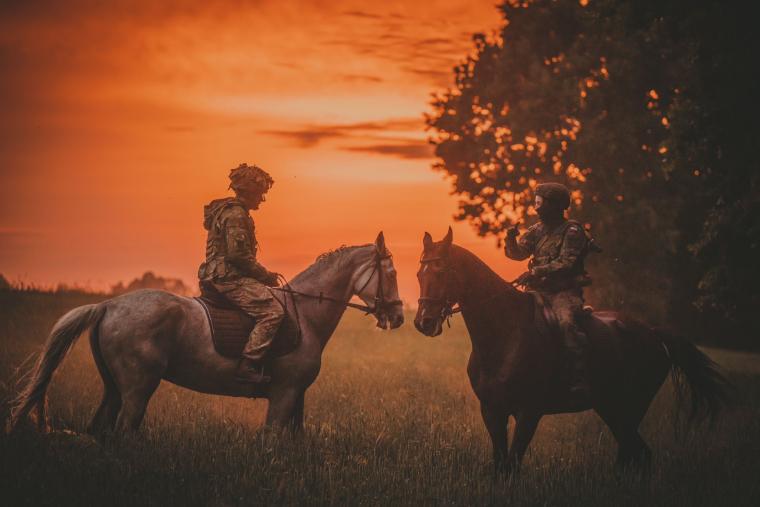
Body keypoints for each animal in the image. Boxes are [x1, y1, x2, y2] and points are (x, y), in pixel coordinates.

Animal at [7, 232, 404, 434]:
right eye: (393, 273)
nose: (399, 316)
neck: (304, 314)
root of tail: (108, 305)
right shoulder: (284, 394)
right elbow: (273, 442)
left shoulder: (296, 397)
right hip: (137, 387)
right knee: (122, 430)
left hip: (114, 387)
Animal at [416, 228, 732, 474]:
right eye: (420, 274)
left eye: (441, 271)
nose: (423, 322)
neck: (505, 335)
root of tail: (653, 334)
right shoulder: (492, 411)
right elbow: (500, 465)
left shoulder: (529, 412)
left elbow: (512, 466)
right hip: (612, 408)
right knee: (635, 453)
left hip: (630, 407)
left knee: (637, 453)